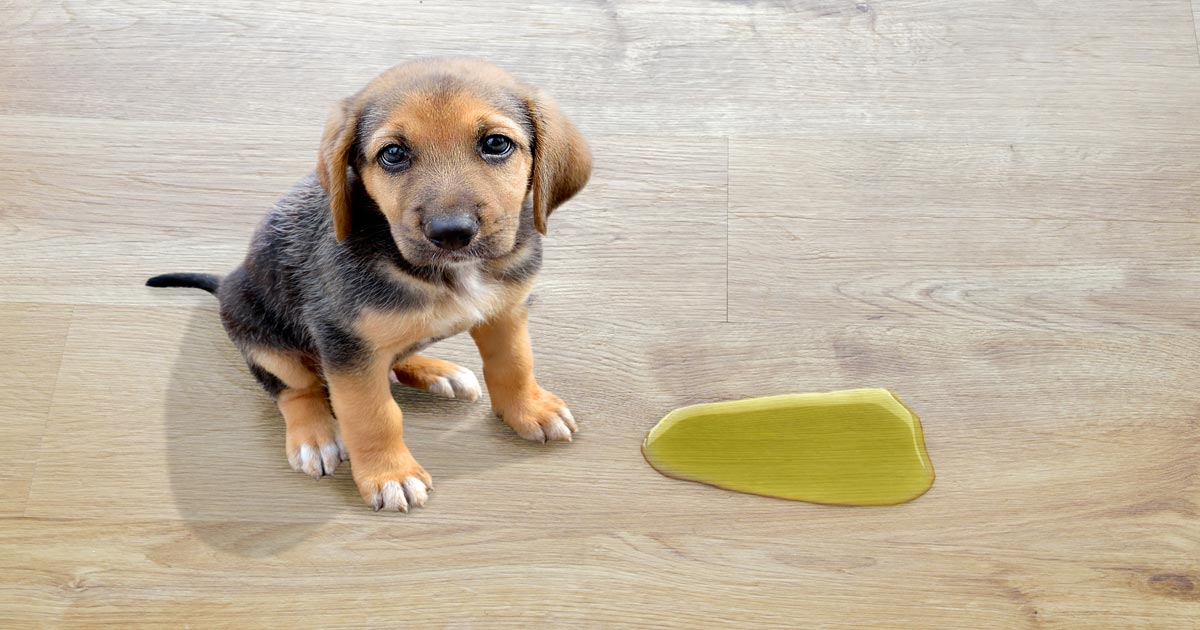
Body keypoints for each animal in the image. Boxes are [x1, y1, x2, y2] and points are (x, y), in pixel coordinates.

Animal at [147, 57, 592, 511]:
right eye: (393, 154)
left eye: (496, 144)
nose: (451, 233)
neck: (449, 274)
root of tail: (225, 283)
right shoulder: (345, 343)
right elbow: (372, 415)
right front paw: (389, 474)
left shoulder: (506, 311)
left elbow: (514, 365)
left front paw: (528, 409)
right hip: (260, 334)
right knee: (296, 389)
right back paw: (315, 435)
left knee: (393, 359)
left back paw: (438, 372)